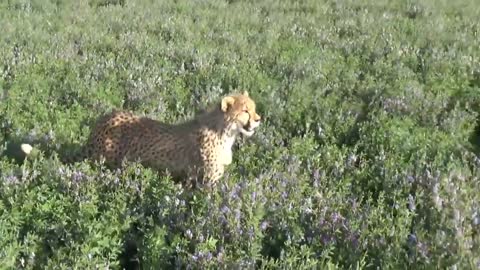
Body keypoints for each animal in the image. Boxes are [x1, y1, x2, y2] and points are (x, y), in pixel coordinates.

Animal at [22, 90, 260, 188]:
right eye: (245, 111)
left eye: (254, 108)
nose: (258, 119)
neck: (225, 131)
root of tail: (102, 120)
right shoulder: (208, 180)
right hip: (105, 163)